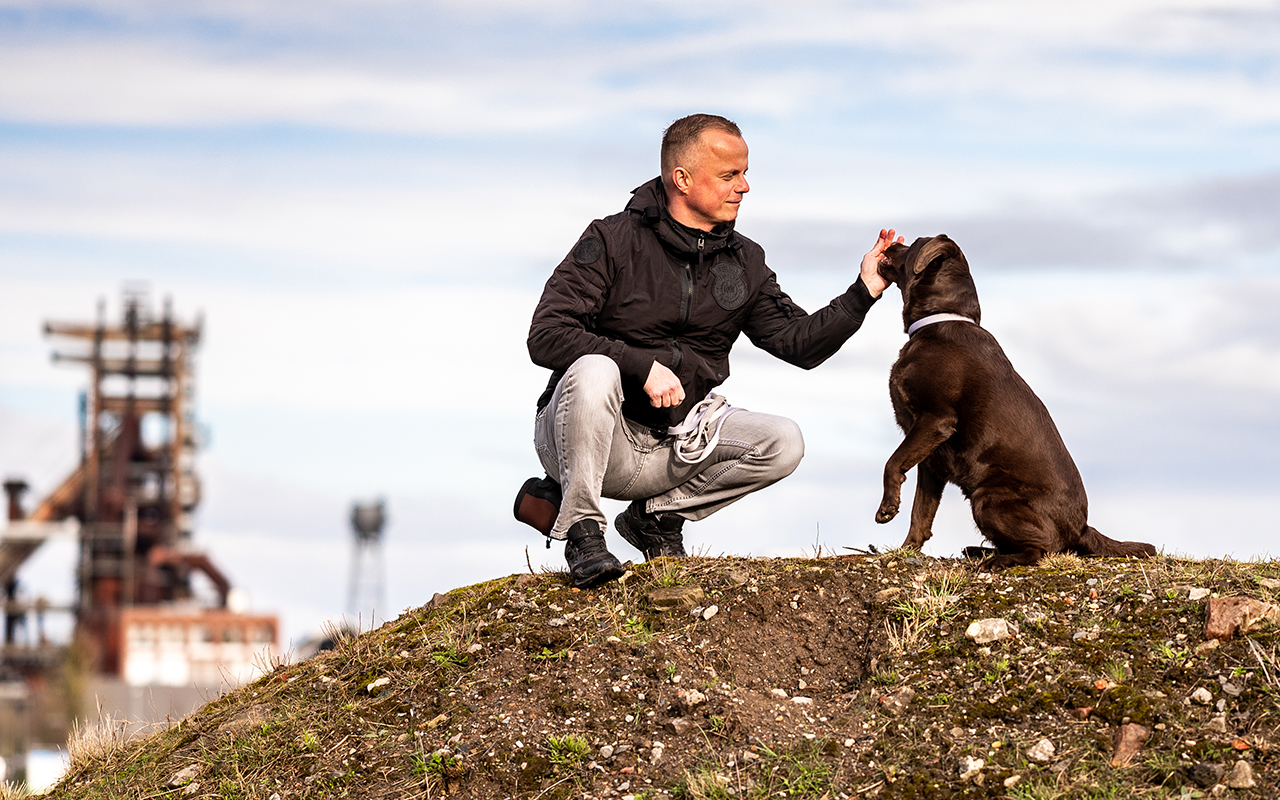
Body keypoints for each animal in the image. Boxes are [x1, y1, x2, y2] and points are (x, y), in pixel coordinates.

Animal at [875, 234, 1157, 565]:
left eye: (914, 244)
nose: (891, 245)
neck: (936, 322)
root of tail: (1082, 529)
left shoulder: (935, 421)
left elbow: (893, 463)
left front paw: (887, 508)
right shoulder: (931, 457)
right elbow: (921, 513)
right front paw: (904, 550)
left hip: (988, 498)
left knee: (1043, 549)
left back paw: (995, 560)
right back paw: (979, 551)